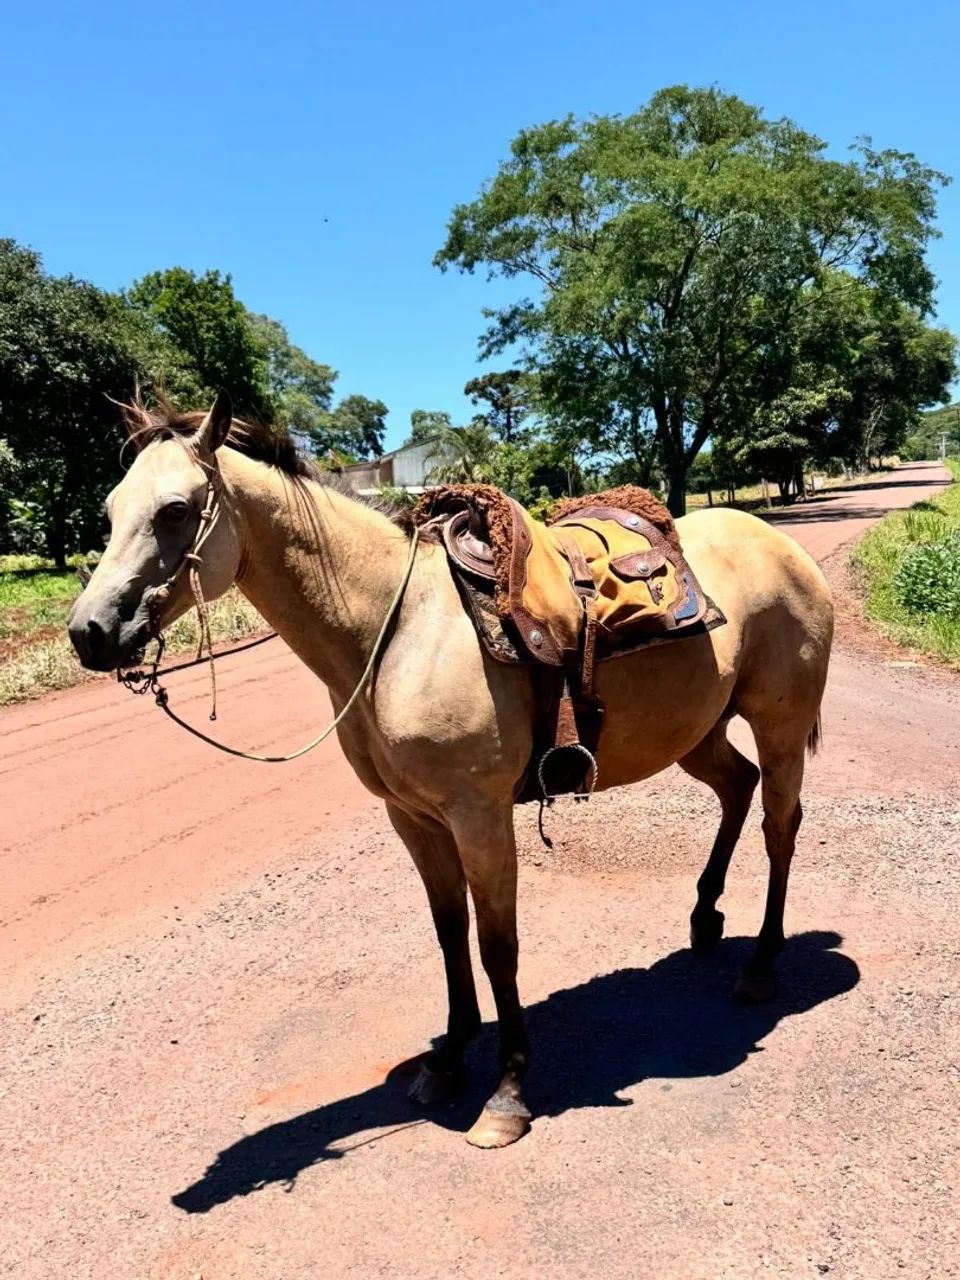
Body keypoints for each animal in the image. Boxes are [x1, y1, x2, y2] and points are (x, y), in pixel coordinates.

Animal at [67, 394, 833, 1148]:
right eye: (109, 510)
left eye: (173, 510)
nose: (88, 633)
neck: (394, 629)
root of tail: (784, 546)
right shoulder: (413, 816)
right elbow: (448, 933)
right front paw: (448, 1059)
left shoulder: (479, 816)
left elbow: (498, 946)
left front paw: (507, 1092)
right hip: (694, 732)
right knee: (737, 789)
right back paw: (704, 916)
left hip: (779, 728)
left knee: (780, 827)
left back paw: (761, 964)